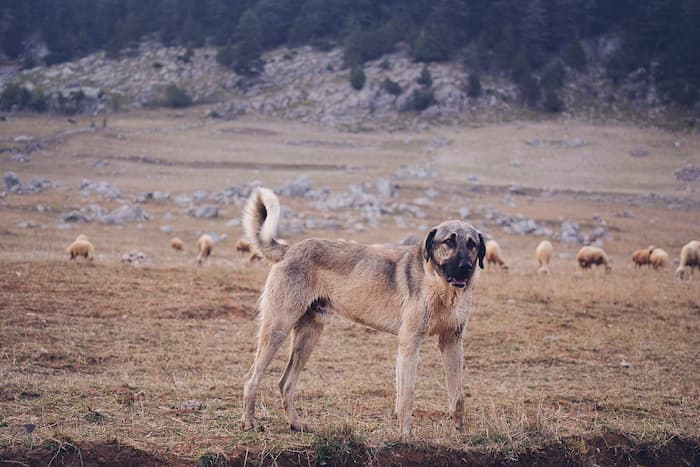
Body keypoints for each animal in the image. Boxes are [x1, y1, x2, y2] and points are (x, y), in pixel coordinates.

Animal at [238, 187, 484, 438]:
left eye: (472, 244)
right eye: (448, 242)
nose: (466, 268)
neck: (440, 286)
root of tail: (290, 249)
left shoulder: (451, 342)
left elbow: (457, 396)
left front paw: (459, 433)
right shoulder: (410, 342)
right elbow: (407, 397)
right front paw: (405, 436)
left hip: (308, 335)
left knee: (285, 383)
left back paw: (296, 424)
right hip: (278, 327)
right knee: (251, 377)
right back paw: (249, 422)